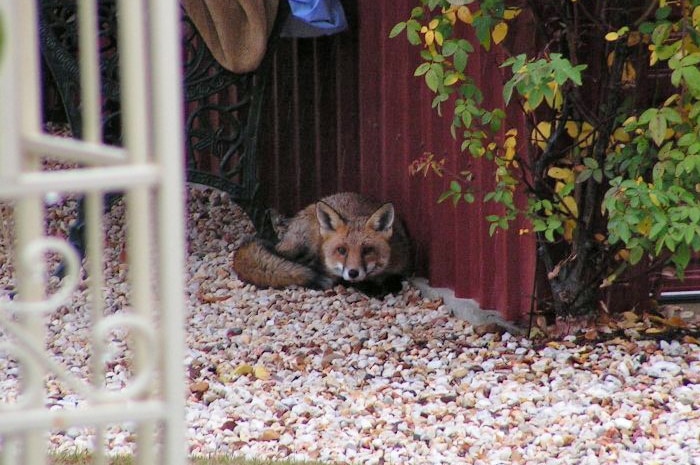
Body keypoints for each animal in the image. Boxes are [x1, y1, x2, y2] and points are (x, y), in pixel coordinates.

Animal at [232, 191, 412, 294]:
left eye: (367, 250)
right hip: (304, 245)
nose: (353, 272)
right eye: (341, 250)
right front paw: (371, 289)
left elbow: (395, 279)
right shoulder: (332, 271)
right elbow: (346, 281)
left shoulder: (401, 262)